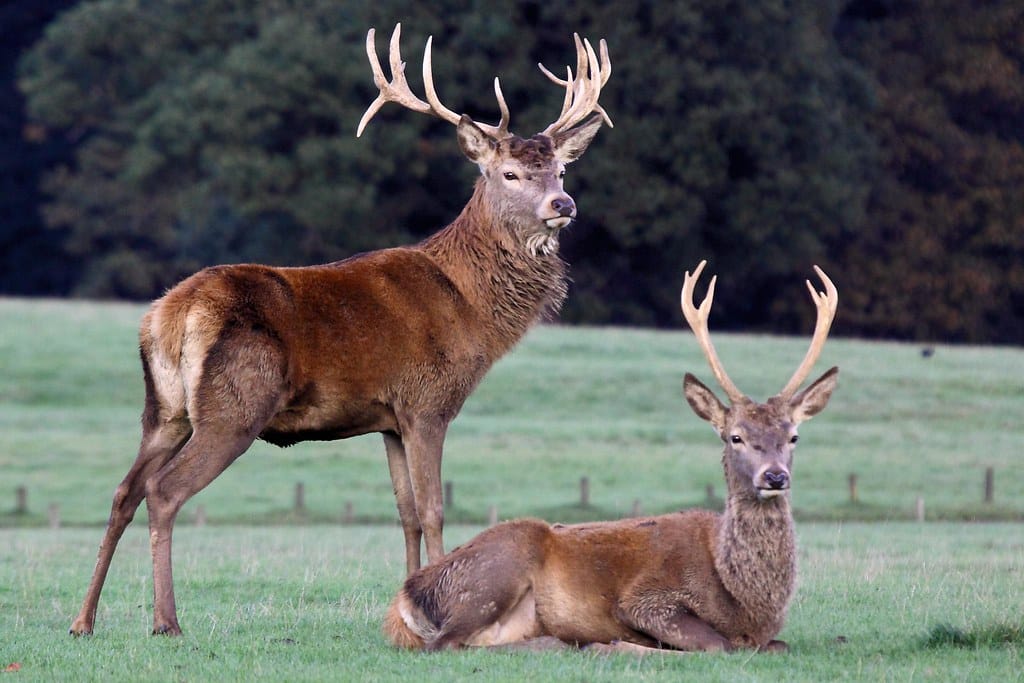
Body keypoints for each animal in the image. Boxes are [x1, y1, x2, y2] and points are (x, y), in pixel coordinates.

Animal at [68, 23, 612, 637]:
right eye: (509, 173)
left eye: (561, 169)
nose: (562, 204)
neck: (470, 306)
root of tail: (171, 315)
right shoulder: (427, 402)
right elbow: (434, 509)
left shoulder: (389, 419)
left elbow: (405, 514)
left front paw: (407, 604)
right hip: (233, 405)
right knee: (163, 492)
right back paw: (166, 622)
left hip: (164, 409)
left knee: (123, 491)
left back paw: (83, 621)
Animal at [382, 260, 839, 654]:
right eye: (735, 437)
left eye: (793, 436)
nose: (775, 476)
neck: (743, 600)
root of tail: (406, 596)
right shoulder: (647, 598)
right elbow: (718, 644)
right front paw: (626, 644)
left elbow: (778, 644)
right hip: (494, 571)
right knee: (446, 643)